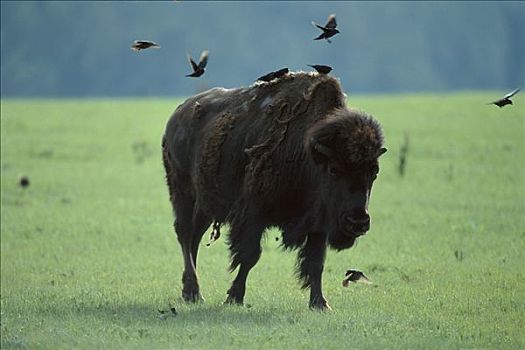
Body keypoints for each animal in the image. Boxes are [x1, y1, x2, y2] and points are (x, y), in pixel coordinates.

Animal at [162, 72, 386, 310]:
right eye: (334, 169)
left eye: (374, 171)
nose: (358, 222)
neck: (308, 152)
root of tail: (177, 115)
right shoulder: (254, 214)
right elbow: (250, 256)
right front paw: (234, 297)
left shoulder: (317, 225)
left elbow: (315, 263)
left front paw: (320, 304)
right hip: (182, 190)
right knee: (185, 234)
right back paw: (193, 291)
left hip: (206, 204)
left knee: (194, 237)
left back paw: (191, 292)